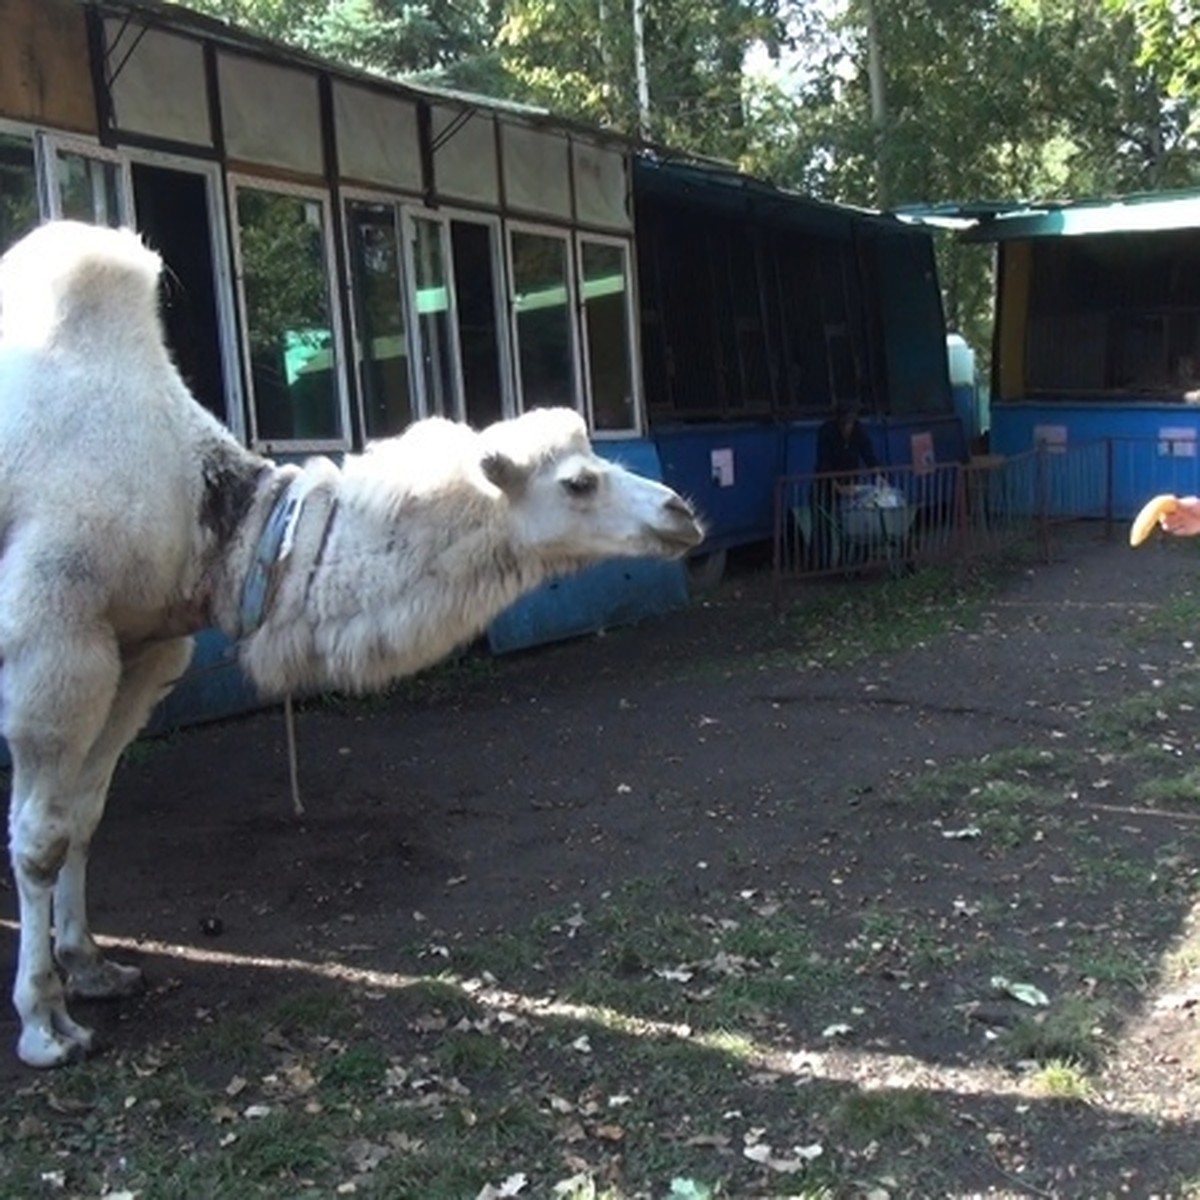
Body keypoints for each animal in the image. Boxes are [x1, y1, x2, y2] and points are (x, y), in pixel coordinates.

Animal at [0, 220, 700, 1065]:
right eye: (578, 482)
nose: (681, 512)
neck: (221, 520)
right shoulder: (54, 630)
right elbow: (41, 837)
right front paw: (46, 1022)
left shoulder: (144, 646)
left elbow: (84, 815)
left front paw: (90, 967)